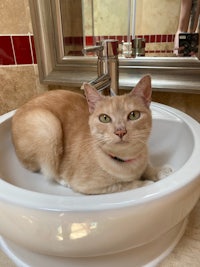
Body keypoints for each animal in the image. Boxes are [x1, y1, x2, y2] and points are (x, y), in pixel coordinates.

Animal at [11, 75, 162, 195]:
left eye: (134, 115)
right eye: (104, 118)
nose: (120, 131)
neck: (127, 161)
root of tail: (17, 111)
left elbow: (148, 167)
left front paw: (159, 171)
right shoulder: (90, 186)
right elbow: (123, 185)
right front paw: (145, 183)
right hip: (48, 126)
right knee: (49, 170)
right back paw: (63, 180)